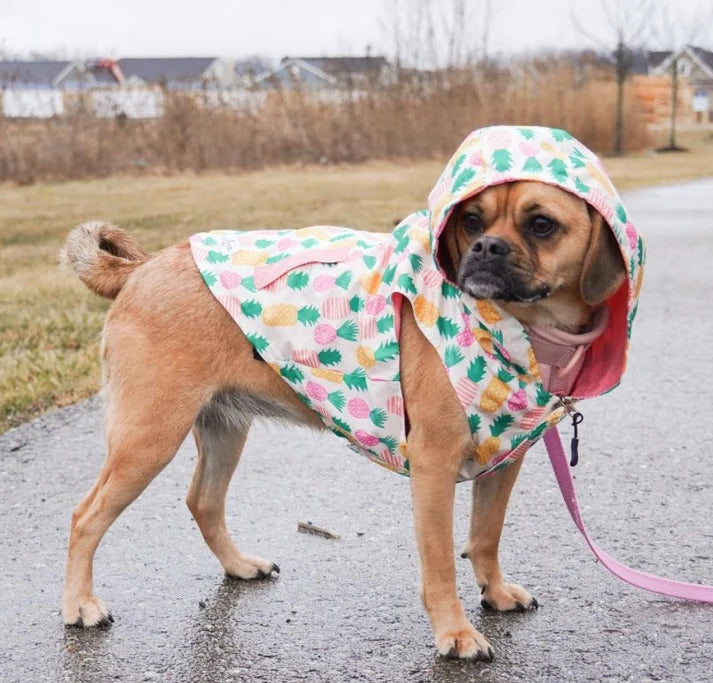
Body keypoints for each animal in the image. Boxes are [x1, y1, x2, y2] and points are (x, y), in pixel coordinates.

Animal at [62, 125, 640, 660]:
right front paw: (454, 632)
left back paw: (239, 565)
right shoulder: (434, 469)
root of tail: (141, 268)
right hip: (148, 438)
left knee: (202, 501)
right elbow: (440, 562)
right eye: (471, 221)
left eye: (542, 225)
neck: (520, 328)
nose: (484, 246)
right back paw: (80, 605)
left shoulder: (503, 464)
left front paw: (493, 592)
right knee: (85, 517)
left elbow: (485, 537)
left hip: (223, 429)